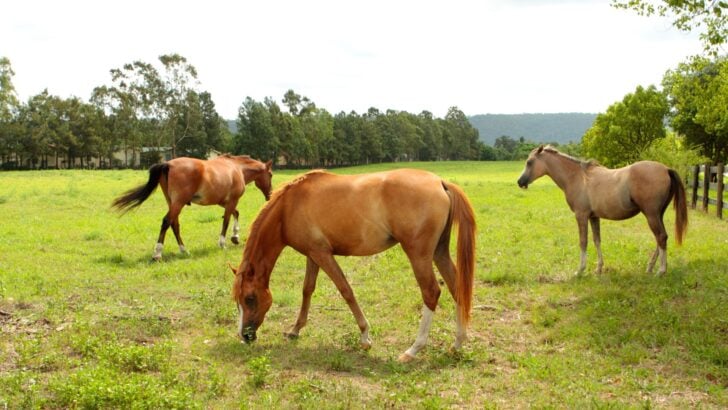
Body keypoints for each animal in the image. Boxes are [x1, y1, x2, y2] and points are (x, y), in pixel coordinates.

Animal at [112, 154, 272, 261]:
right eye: (270, 174)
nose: (270, 195)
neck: (236, 168)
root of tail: (168, 164)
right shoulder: (232, 201)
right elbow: (226, 220)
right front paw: (223, 243)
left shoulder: (224, 202)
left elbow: (236, 214)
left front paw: (235, 237)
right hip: (178, 203)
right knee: (167, 222)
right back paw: (157, 253)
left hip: (172, 203)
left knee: (174, 224)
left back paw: (184, 250)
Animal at [231, 169, 476, 362]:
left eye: (250, 298)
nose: (245, 336)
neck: (289, 207)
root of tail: (440, 182)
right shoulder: (312, 255)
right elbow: (307, 290)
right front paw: (295, 329)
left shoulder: (322, 254)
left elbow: (345, 290)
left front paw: (365, 337)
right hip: (439, 252)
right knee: (456, 287)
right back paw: (457, 344)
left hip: (419, 255)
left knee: (431, 292)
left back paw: (413, 350)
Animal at [517, 145, 687, 275]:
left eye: (530, 162)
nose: (520, 182)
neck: (577, 178)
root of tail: (666, 169)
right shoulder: (594, 217)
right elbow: (597, 240)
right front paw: (598, 268)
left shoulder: (581, 216)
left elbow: (583, 241)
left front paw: (580, 270)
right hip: (658, 214)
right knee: (661, 238)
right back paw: (651, 267)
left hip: (651, 214)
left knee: (661, 237)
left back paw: (661, 270)